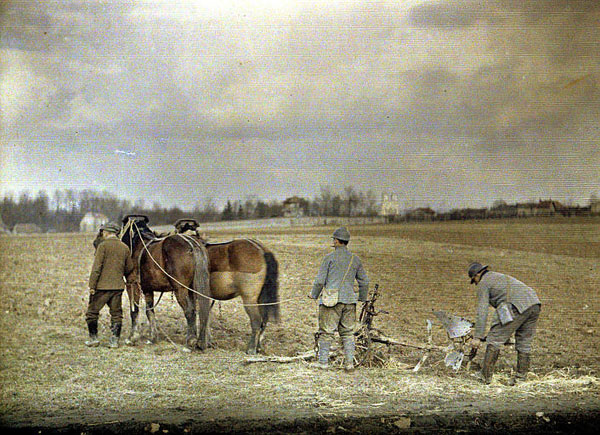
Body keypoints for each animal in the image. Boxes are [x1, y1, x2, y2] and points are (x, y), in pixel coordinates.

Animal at [115, 216, 211, 352]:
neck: (137, 242)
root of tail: (192, 244)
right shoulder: (147, 289)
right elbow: (149, 311)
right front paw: (152, 337)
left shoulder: (132, 285)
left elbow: (134, 310)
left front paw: (132, 337)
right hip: (192, 289)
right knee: (197, 311)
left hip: (180, 289)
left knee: (189, 312)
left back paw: (190, 342)